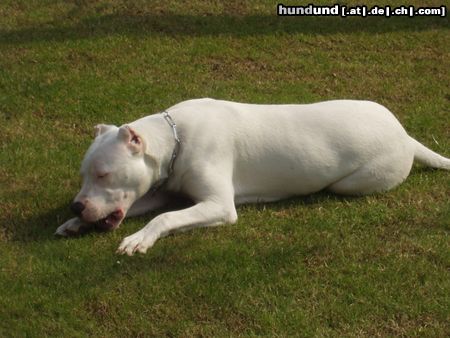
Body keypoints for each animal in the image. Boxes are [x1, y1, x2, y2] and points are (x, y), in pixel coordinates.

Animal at [54, 99, 448, 255]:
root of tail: (405, 135)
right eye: (84, 175)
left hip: (352, 181)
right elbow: (148, 206)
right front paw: (75, 223)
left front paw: (139, 239)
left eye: (103, 174)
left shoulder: (217, 205)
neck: (175, 138)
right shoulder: (161, 190)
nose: (76, 204)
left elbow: (164, 218)